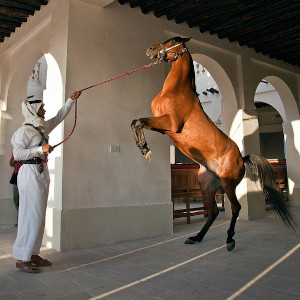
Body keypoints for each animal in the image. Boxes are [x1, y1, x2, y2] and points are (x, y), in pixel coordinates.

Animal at [131, 36, 296, 251]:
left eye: (173, 40)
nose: (151, 49)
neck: (177, 90)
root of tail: (242, 158)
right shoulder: (161, 126)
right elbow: (136, 121)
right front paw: (143, 147)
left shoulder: (170, 123)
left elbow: (138, 121)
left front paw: (145, 149)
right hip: (206, 185)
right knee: (213, 212)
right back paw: (196, 237)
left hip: (228, 184)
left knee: (235, 207)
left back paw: (229, 240)